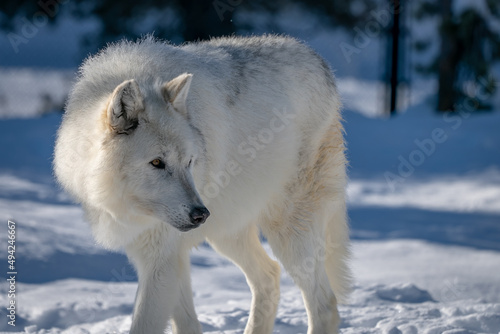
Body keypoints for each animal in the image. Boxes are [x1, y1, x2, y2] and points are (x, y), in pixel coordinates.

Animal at [52, 35, 350, 332]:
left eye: (189, 162)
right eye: (157, 162)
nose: (200, 214)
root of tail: (318, 60)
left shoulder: (161, 259)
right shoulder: (168, 258)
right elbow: (187, 324)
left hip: (288, 235)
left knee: (324, 304)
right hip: (227, 233)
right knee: (269, 276)